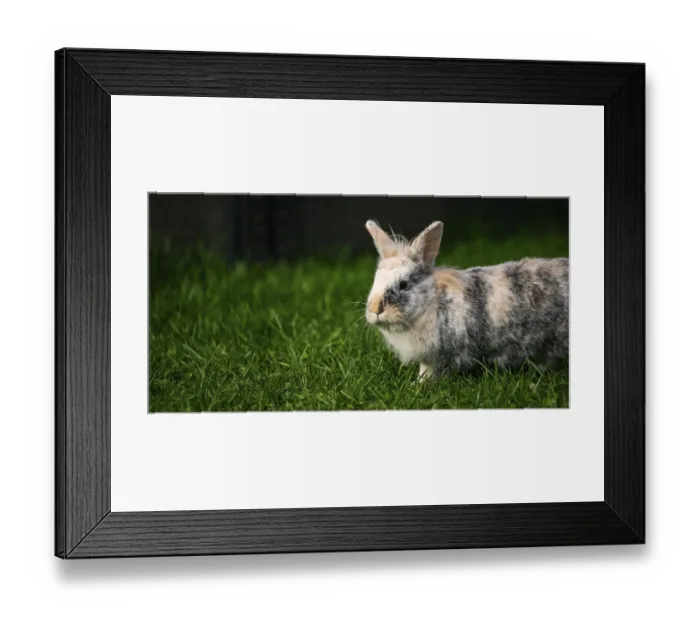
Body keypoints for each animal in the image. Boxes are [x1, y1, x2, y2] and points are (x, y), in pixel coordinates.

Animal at [364, 220, 569, 380]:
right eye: (375, 280)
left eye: (404, 284)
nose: (375, 309)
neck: (430, 302)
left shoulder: (436, 358)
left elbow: (427, 372)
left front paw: (419, 385)